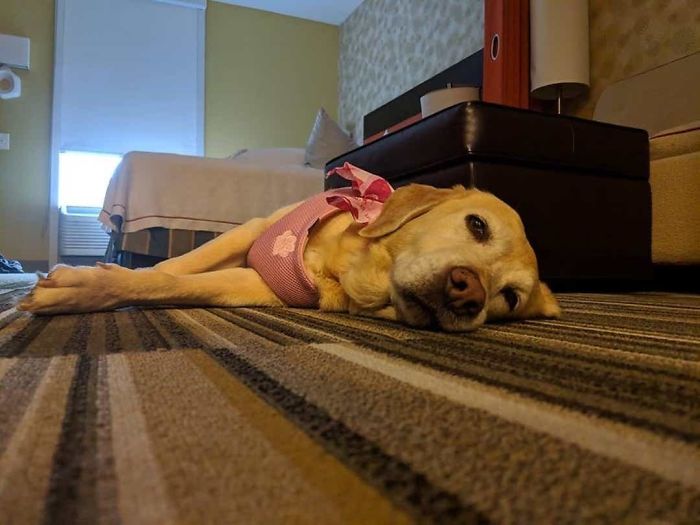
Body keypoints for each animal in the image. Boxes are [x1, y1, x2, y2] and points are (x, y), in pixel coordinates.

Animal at [18, 166, 560, 331]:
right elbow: (177, 263)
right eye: (477, 225)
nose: (468, 293)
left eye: (509, 297)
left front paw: (88, 287)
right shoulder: (254, 230)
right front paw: (100, 276)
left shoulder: (259, 283)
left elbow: (174, 282)